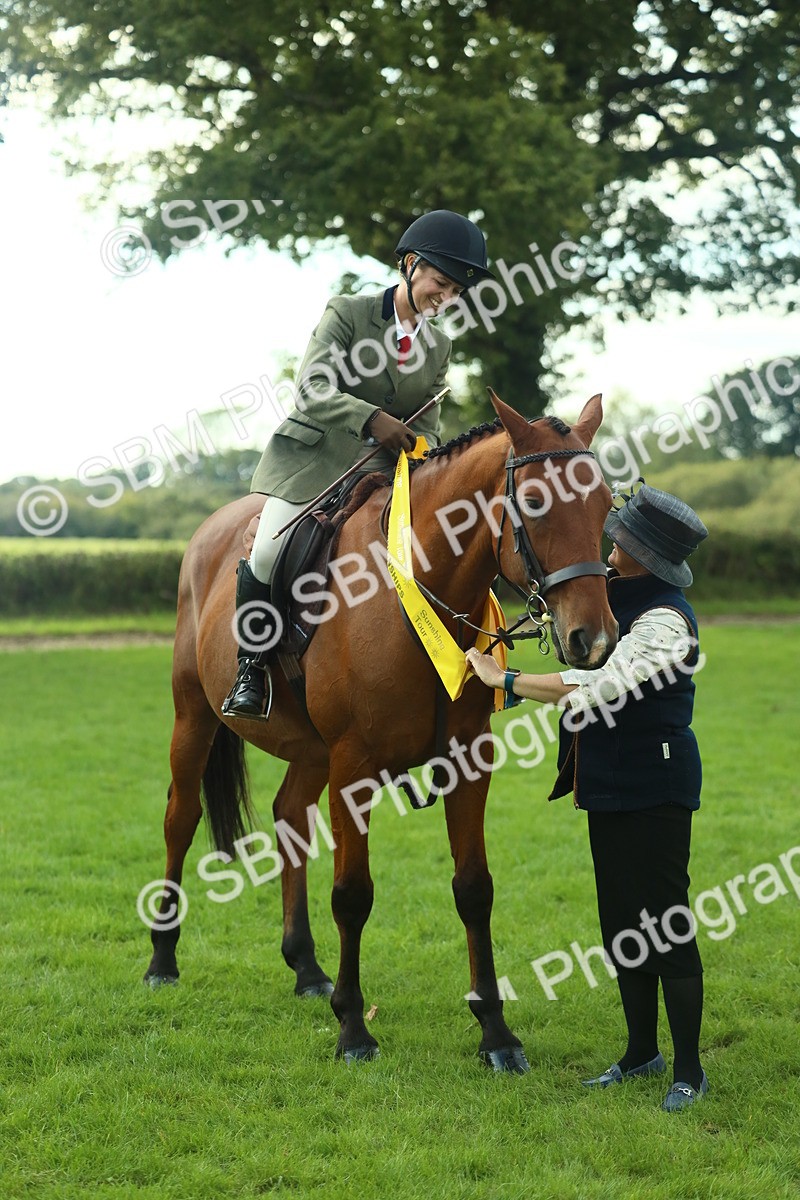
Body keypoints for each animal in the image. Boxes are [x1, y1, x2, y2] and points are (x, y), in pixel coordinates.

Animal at [144, 390, 618, 1070]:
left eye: (606, 504)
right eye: (534, 504)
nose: (595, 640)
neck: (416, 585)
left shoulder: (468, 761)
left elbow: (474, 888)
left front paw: (495, 1032)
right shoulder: (355, 766)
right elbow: (353, 894)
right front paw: (353, 1029)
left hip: (310, 750)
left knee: (289, 817)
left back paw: (306, 967)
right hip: (196, 716)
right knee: (180, 819)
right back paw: (162, 958)